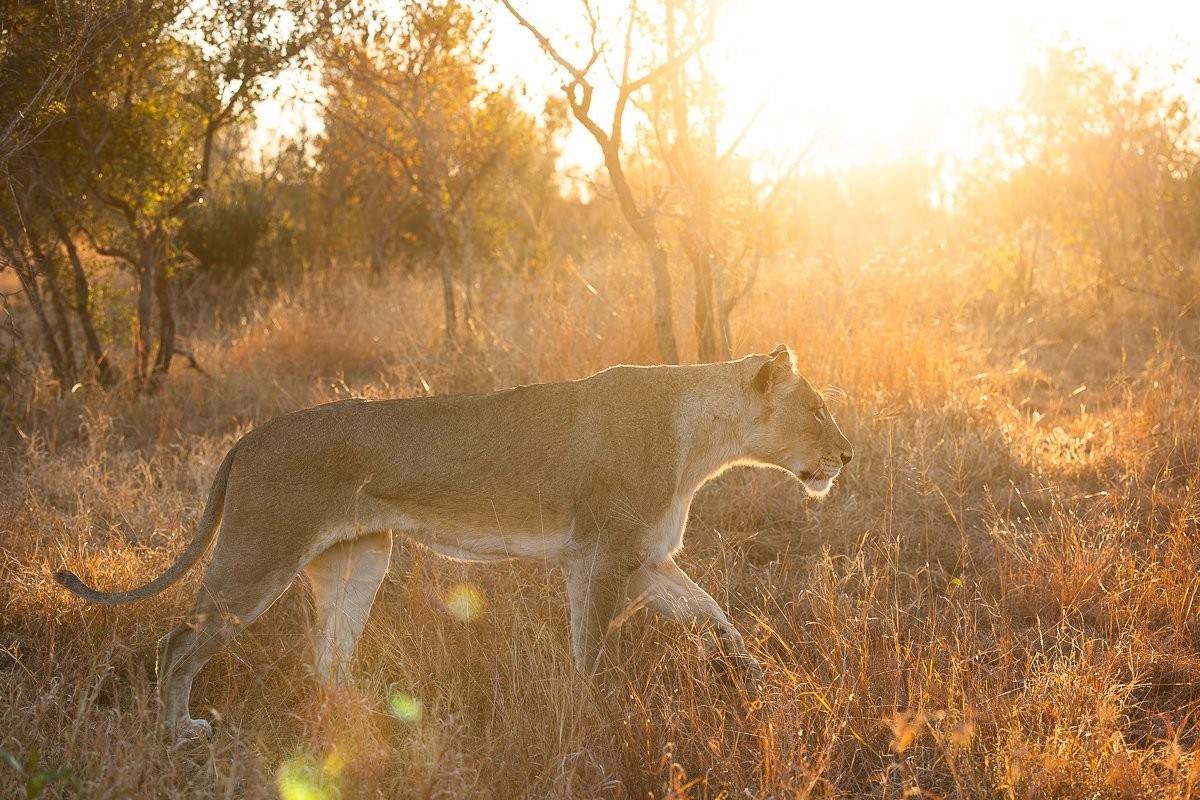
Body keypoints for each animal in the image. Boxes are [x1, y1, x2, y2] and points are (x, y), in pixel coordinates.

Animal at [54, 345, 852, 739]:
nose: (847, 456)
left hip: (359, 561)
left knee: (326, 657)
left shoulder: (647, 561)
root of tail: (246, 439)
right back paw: (179, 730)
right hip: (259, 556)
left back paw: (373, 722)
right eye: (815, 408)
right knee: (178, 643)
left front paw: (761, 684)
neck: (705, 442)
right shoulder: (597, 559)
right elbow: (590, 650)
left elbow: (717, 618)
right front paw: (594, 717)